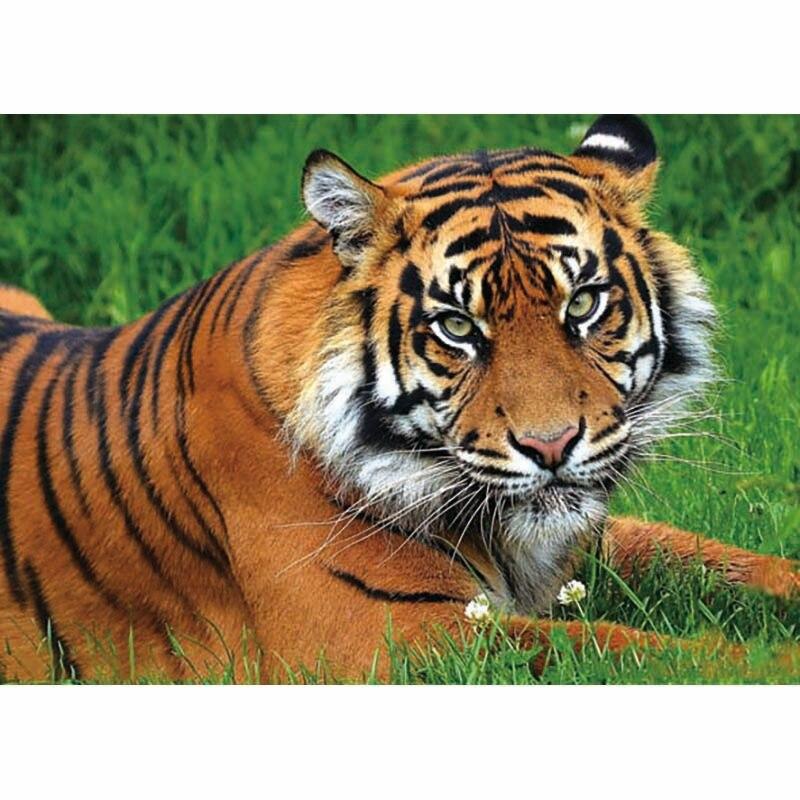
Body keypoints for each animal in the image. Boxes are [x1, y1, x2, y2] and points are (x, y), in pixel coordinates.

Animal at [0, 115, 797, 683]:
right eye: (457, 326)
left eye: (583, 304)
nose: (550, 447)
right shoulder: (385, 637)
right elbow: (628, 648)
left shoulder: (579, 539)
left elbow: (711, 557)